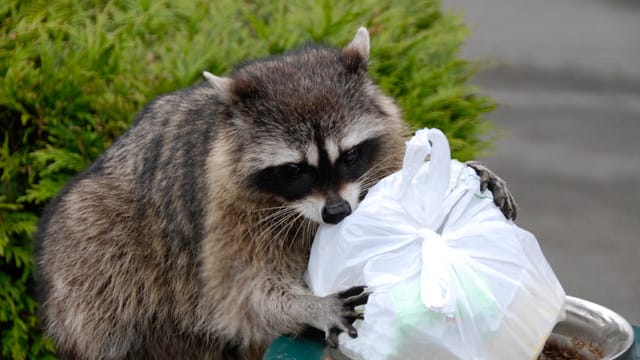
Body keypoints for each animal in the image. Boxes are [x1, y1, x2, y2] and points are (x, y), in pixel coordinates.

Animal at [33, 28, 516, 360]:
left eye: (349, 155)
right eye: (294, 170)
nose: (337, 213)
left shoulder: (381, 152)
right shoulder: (225, 214)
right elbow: (241, 295)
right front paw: (308, 306)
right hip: (89, 248)